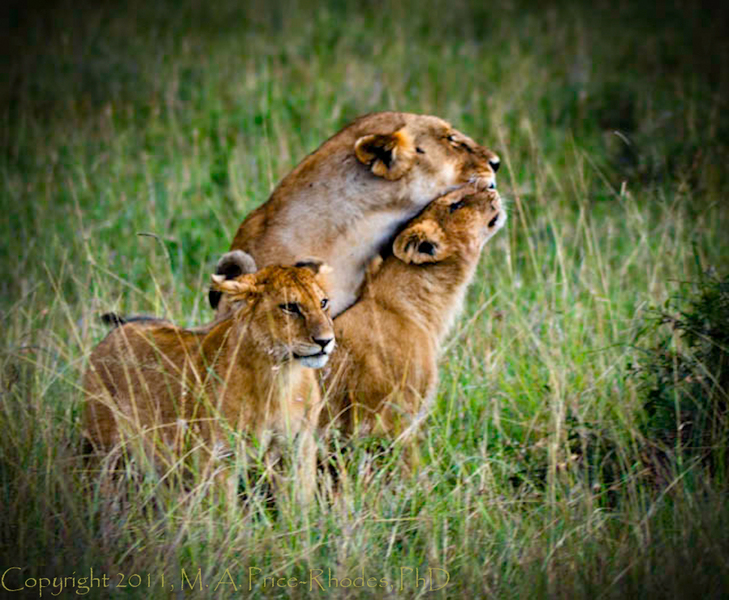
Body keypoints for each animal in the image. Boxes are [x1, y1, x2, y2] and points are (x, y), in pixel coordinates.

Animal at [84, 262, 334, 502]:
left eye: (323, 303)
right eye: (290, 307)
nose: (326, 341)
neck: (281, 376)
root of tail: (117, 331)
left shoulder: (299, 449)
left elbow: (301, 506)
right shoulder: (219, 458)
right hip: (106, 452)